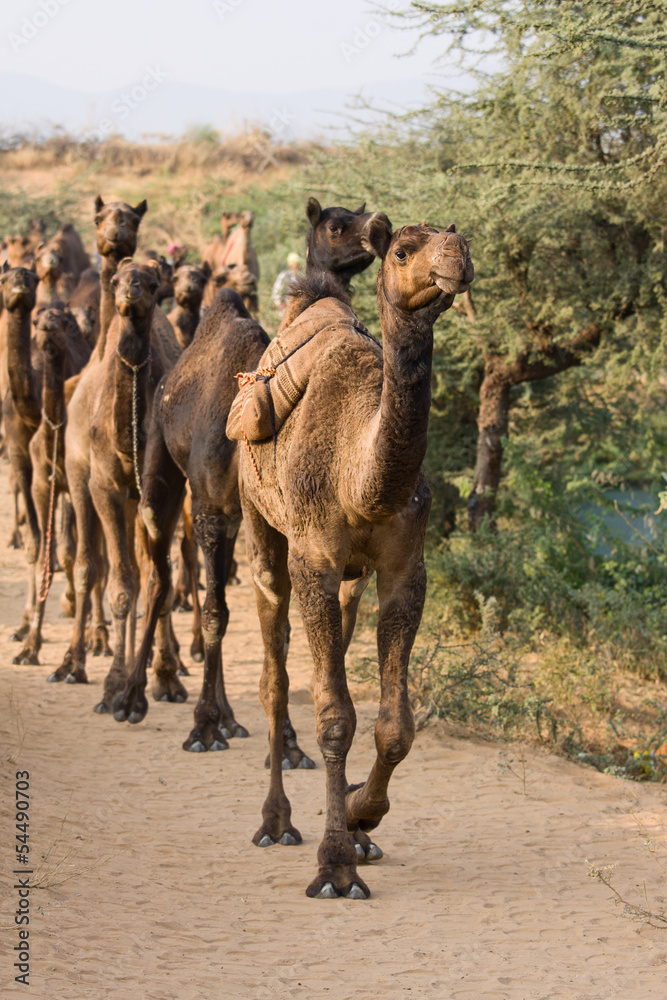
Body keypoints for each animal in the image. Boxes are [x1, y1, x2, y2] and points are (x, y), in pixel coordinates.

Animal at [111, 199, 393, 765]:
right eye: (337, 225)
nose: (381, 228)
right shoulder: (211, 508)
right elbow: (215, 612)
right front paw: (202, 726)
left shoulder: (272, 520)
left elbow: (277, 628)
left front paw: (285, 743)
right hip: (162, 476)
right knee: (160, 577)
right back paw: (133, 697)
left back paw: (228, 714)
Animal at [237, 220, 473, 899]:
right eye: (403, 250)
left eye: (461, 238)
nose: (457, 258)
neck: (358, 475)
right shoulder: (312, 558)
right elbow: (333, 715)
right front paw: (335, 865)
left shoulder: (404, 570)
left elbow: (395, 724)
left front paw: (363, 815)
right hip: (259, 520)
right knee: (274, 675)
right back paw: (277, 821)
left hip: (352, 579)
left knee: (338, 642)